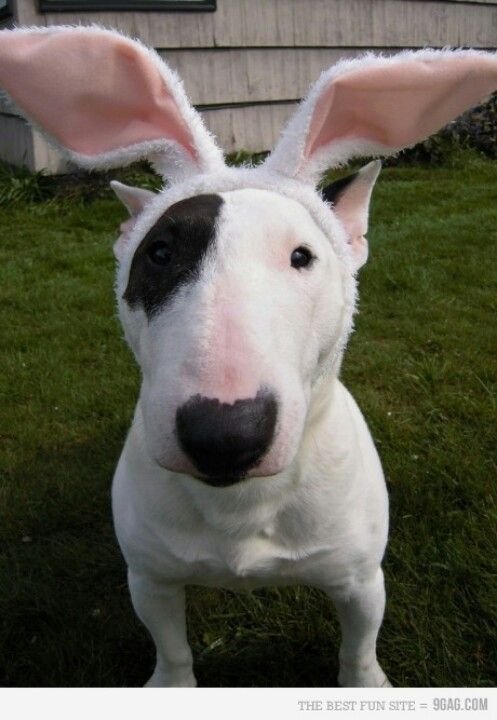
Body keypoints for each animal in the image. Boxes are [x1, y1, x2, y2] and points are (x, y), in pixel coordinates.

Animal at [1, 26, 494, 688]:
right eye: (159, 254)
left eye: (302, 256)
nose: (223, 434)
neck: (239, 503)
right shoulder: (150, 579)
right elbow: (172, 647)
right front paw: (171, 686)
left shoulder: (361, 581)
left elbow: (358, 646)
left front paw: (367, 684)